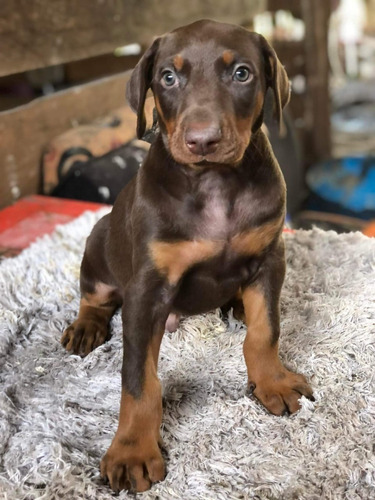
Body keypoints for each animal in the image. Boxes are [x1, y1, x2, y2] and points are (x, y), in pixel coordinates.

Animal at [61, 18, 314, 492]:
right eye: (168, 78)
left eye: (242, 74)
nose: (202, 141)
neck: (214, 183)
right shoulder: (147, 290)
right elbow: (138, 379)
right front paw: (132, 450)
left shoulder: (270, 258)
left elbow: (265, 330)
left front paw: (271, 381)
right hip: (99, 241)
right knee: (94, 296)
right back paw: (86, 326)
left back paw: (238, 305)